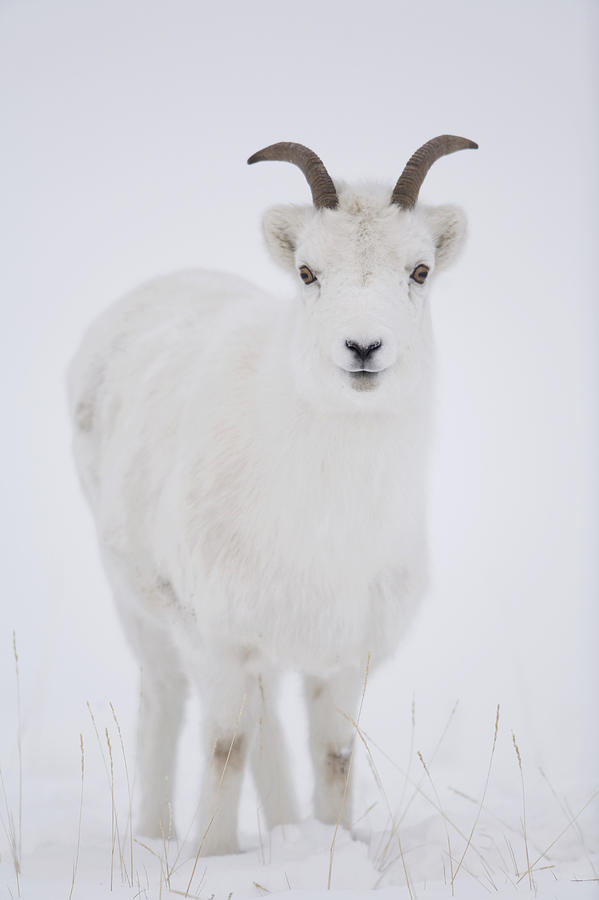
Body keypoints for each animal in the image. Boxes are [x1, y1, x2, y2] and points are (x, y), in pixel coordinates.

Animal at [67, 137, 478, 856]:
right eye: (308, 272)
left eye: (420, 269)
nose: (362, 347)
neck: (326, 520)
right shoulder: (217, 641)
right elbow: (226, 746)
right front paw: (213, 856)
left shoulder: (340, 656)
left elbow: (332, 758)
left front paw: (332, 844)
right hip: (141, 610)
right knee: (165, 705)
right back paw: (155, 837)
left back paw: (288, 831)